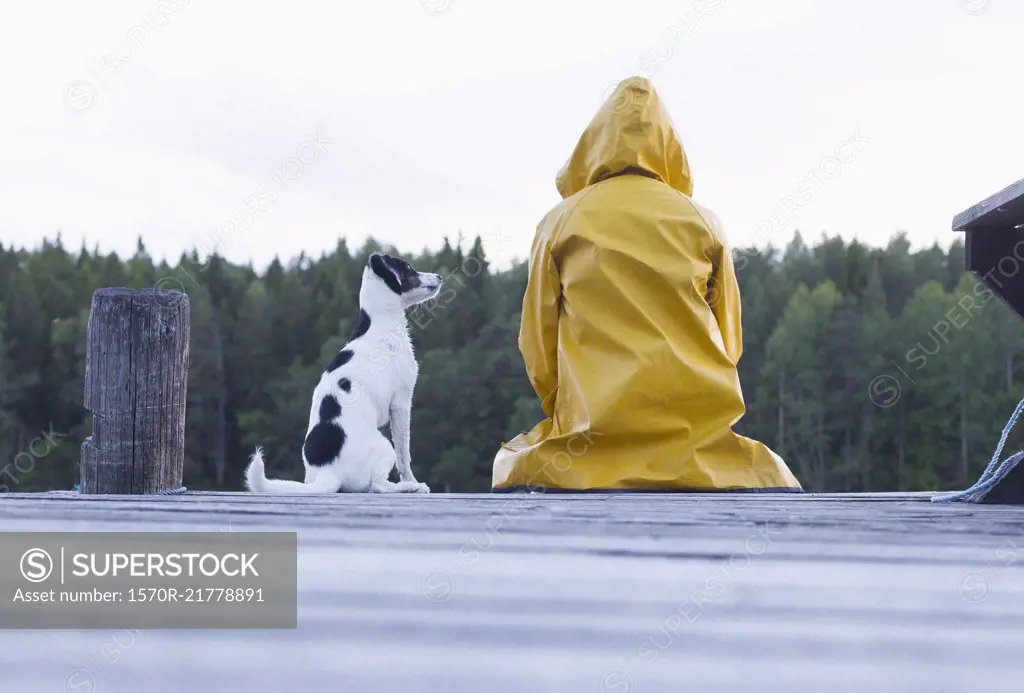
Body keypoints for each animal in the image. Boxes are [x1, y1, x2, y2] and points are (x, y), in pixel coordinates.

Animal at [247, 252, 444, 491]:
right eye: (407, 267)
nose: (440, 276)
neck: (381, 324)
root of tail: (328, 472)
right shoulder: (401, 404)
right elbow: (404, 455)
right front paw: (412, 481)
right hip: (384, 445)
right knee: (378, 485)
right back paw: (409, 487)